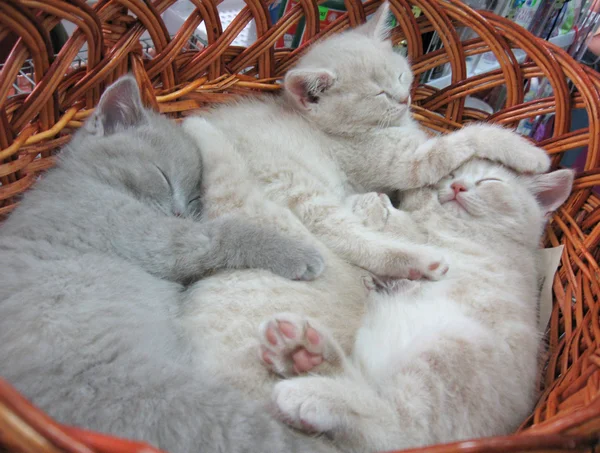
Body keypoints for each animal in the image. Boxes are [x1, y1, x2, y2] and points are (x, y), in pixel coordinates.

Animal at [0, 77, 336, 452]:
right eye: (162, 176)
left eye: (193, 197)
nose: (178, 212)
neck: (84, 177)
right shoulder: (149, 236)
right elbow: (225, 233)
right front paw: (297, 252)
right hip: (161, 398)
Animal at [185, 1, 552, 280]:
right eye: (380, 94)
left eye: (401, 74)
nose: (404, 98)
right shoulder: (406, 162)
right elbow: (467, 137)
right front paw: (528, 153)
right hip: (296, 184)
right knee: (343, 236)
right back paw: (420, 261)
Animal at [258, 160, 576, 452]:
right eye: (451, 174)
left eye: (490, 180)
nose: (457, 186)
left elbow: (405, 229)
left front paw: (375, 204)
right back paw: (302, 352)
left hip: (448, 349)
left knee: (399, 431)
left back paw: (310, 390)